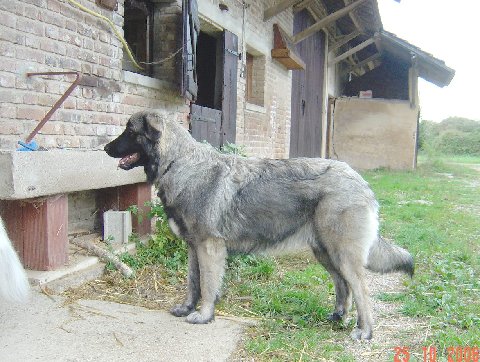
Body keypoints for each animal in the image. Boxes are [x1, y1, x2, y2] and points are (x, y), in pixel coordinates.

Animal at [105, 110, 412, 340]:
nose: (105, 148)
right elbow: (193, 283)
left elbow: (207, 285)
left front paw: (204, 315)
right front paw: (187, 307)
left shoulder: (209, 248)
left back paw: (365, 331)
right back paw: (339, 317)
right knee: (343, 286)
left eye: (130, 131)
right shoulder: (193, 248)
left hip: (343, 254)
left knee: (361, 290)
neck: (178, 163)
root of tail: (359, 180)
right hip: (325, 253)